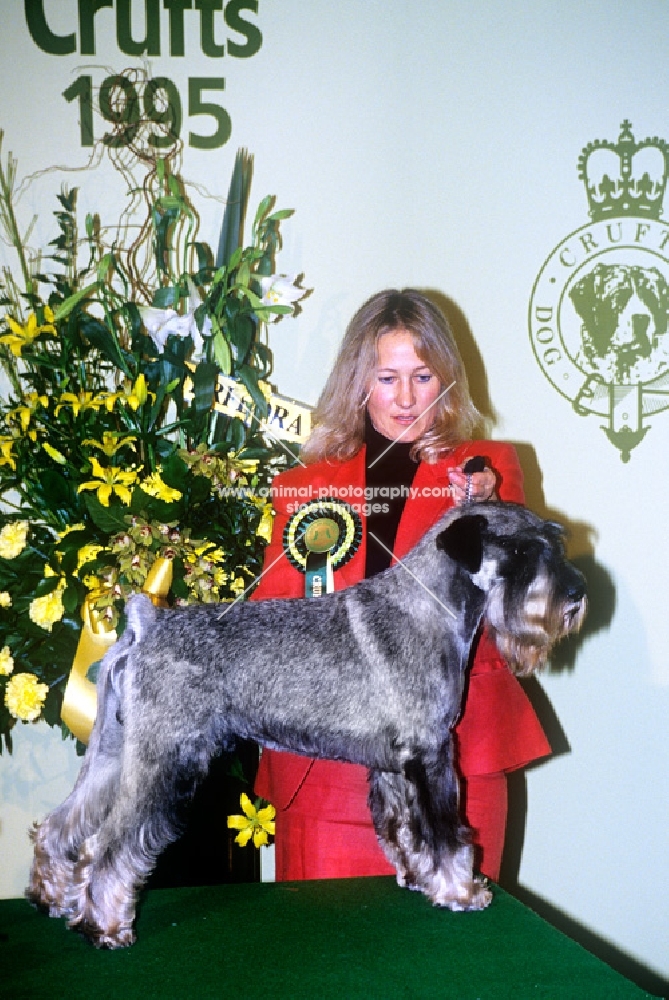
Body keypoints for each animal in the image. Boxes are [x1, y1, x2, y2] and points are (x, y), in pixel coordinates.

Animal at [27, 504, 584, 948]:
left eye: (555, 539)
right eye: (519, 547)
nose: (577, 591)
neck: (430, 607)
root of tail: (147, 625)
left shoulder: (398, 765)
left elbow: (406, 829)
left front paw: (419, 879)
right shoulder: (432, 753)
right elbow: (446, 833)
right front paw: (460, 890)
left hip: (114, 752)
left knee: (61, 824)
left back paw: (52, 897)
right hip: (162, 760)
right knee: (109, 845)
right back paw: (104, 926)